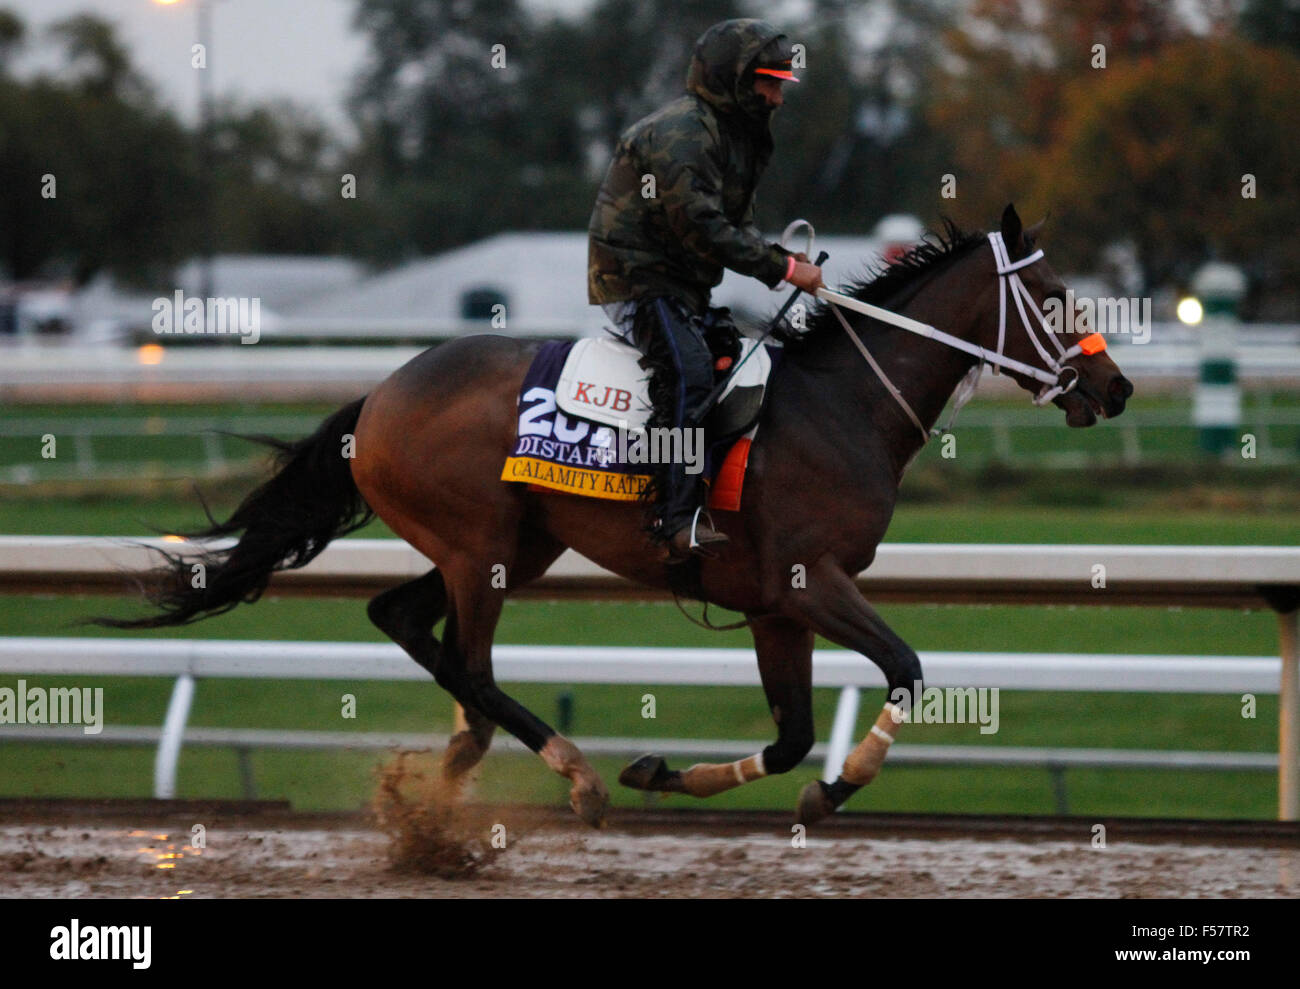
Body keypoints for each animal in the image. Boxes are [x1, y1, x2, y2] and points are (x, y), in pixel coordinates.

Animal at [101, 206, 1133, 826]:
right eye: (1054, 297)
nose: (1115, 387)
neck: (840, 407)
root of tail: (380, 395)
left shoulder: (773, 606)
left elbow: (793, 731)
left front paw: (676, 774)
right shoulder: (812, 582)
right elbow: (906, 669)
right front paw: (833, 790)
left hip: (517, 543)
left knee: (402, 619)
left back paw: (455, 780)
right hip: (480, 547)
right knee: (471, 665)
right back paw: (569, 773)